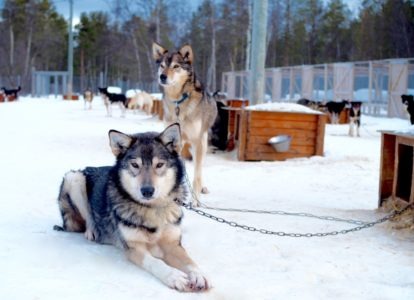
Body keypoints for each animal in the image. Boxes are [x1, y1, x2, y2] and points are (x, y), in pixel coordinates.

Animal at [54, 123, 210, 292]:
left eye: (159, 165)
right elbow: (156, 262)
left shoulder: (173, 244)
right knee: (88, 216)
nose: (147, 191)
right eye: (135, 165)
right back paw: (92, 231)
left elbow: (190, 261)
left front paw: (198, 274)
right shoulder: (134, 248)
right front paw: (174, 276)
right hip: (74, 178)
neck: (151, 210)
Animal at [151, 42, 217, 206]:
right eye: (162, 65)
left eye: (176, 66)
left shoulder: (197, 142)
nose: (162, 76)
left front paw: (195, 201)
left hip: (201, 145)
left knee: (199, 169)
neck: (178, 101)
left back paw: (202, 188)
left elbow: (196, 176)